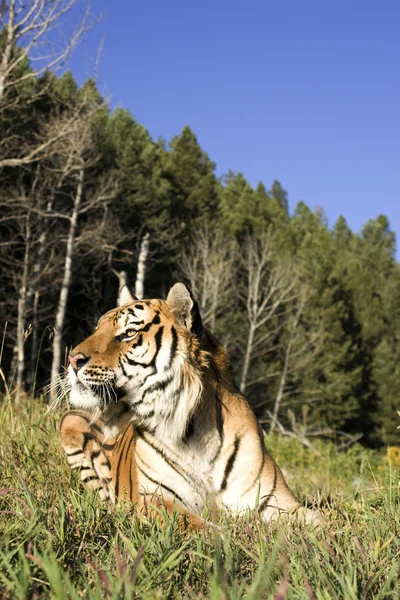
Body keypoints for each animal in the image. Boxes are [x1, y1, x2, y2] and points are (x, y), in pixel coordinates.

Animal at [59, 282, 322, 524]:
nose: (72, 359)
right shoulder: (156, 499)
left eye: (129, 333)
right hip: (70, 420)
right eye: (97, 329)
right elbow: (202, 528)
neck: (195, 434)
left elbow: (322, 524)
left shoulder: (278, 502)